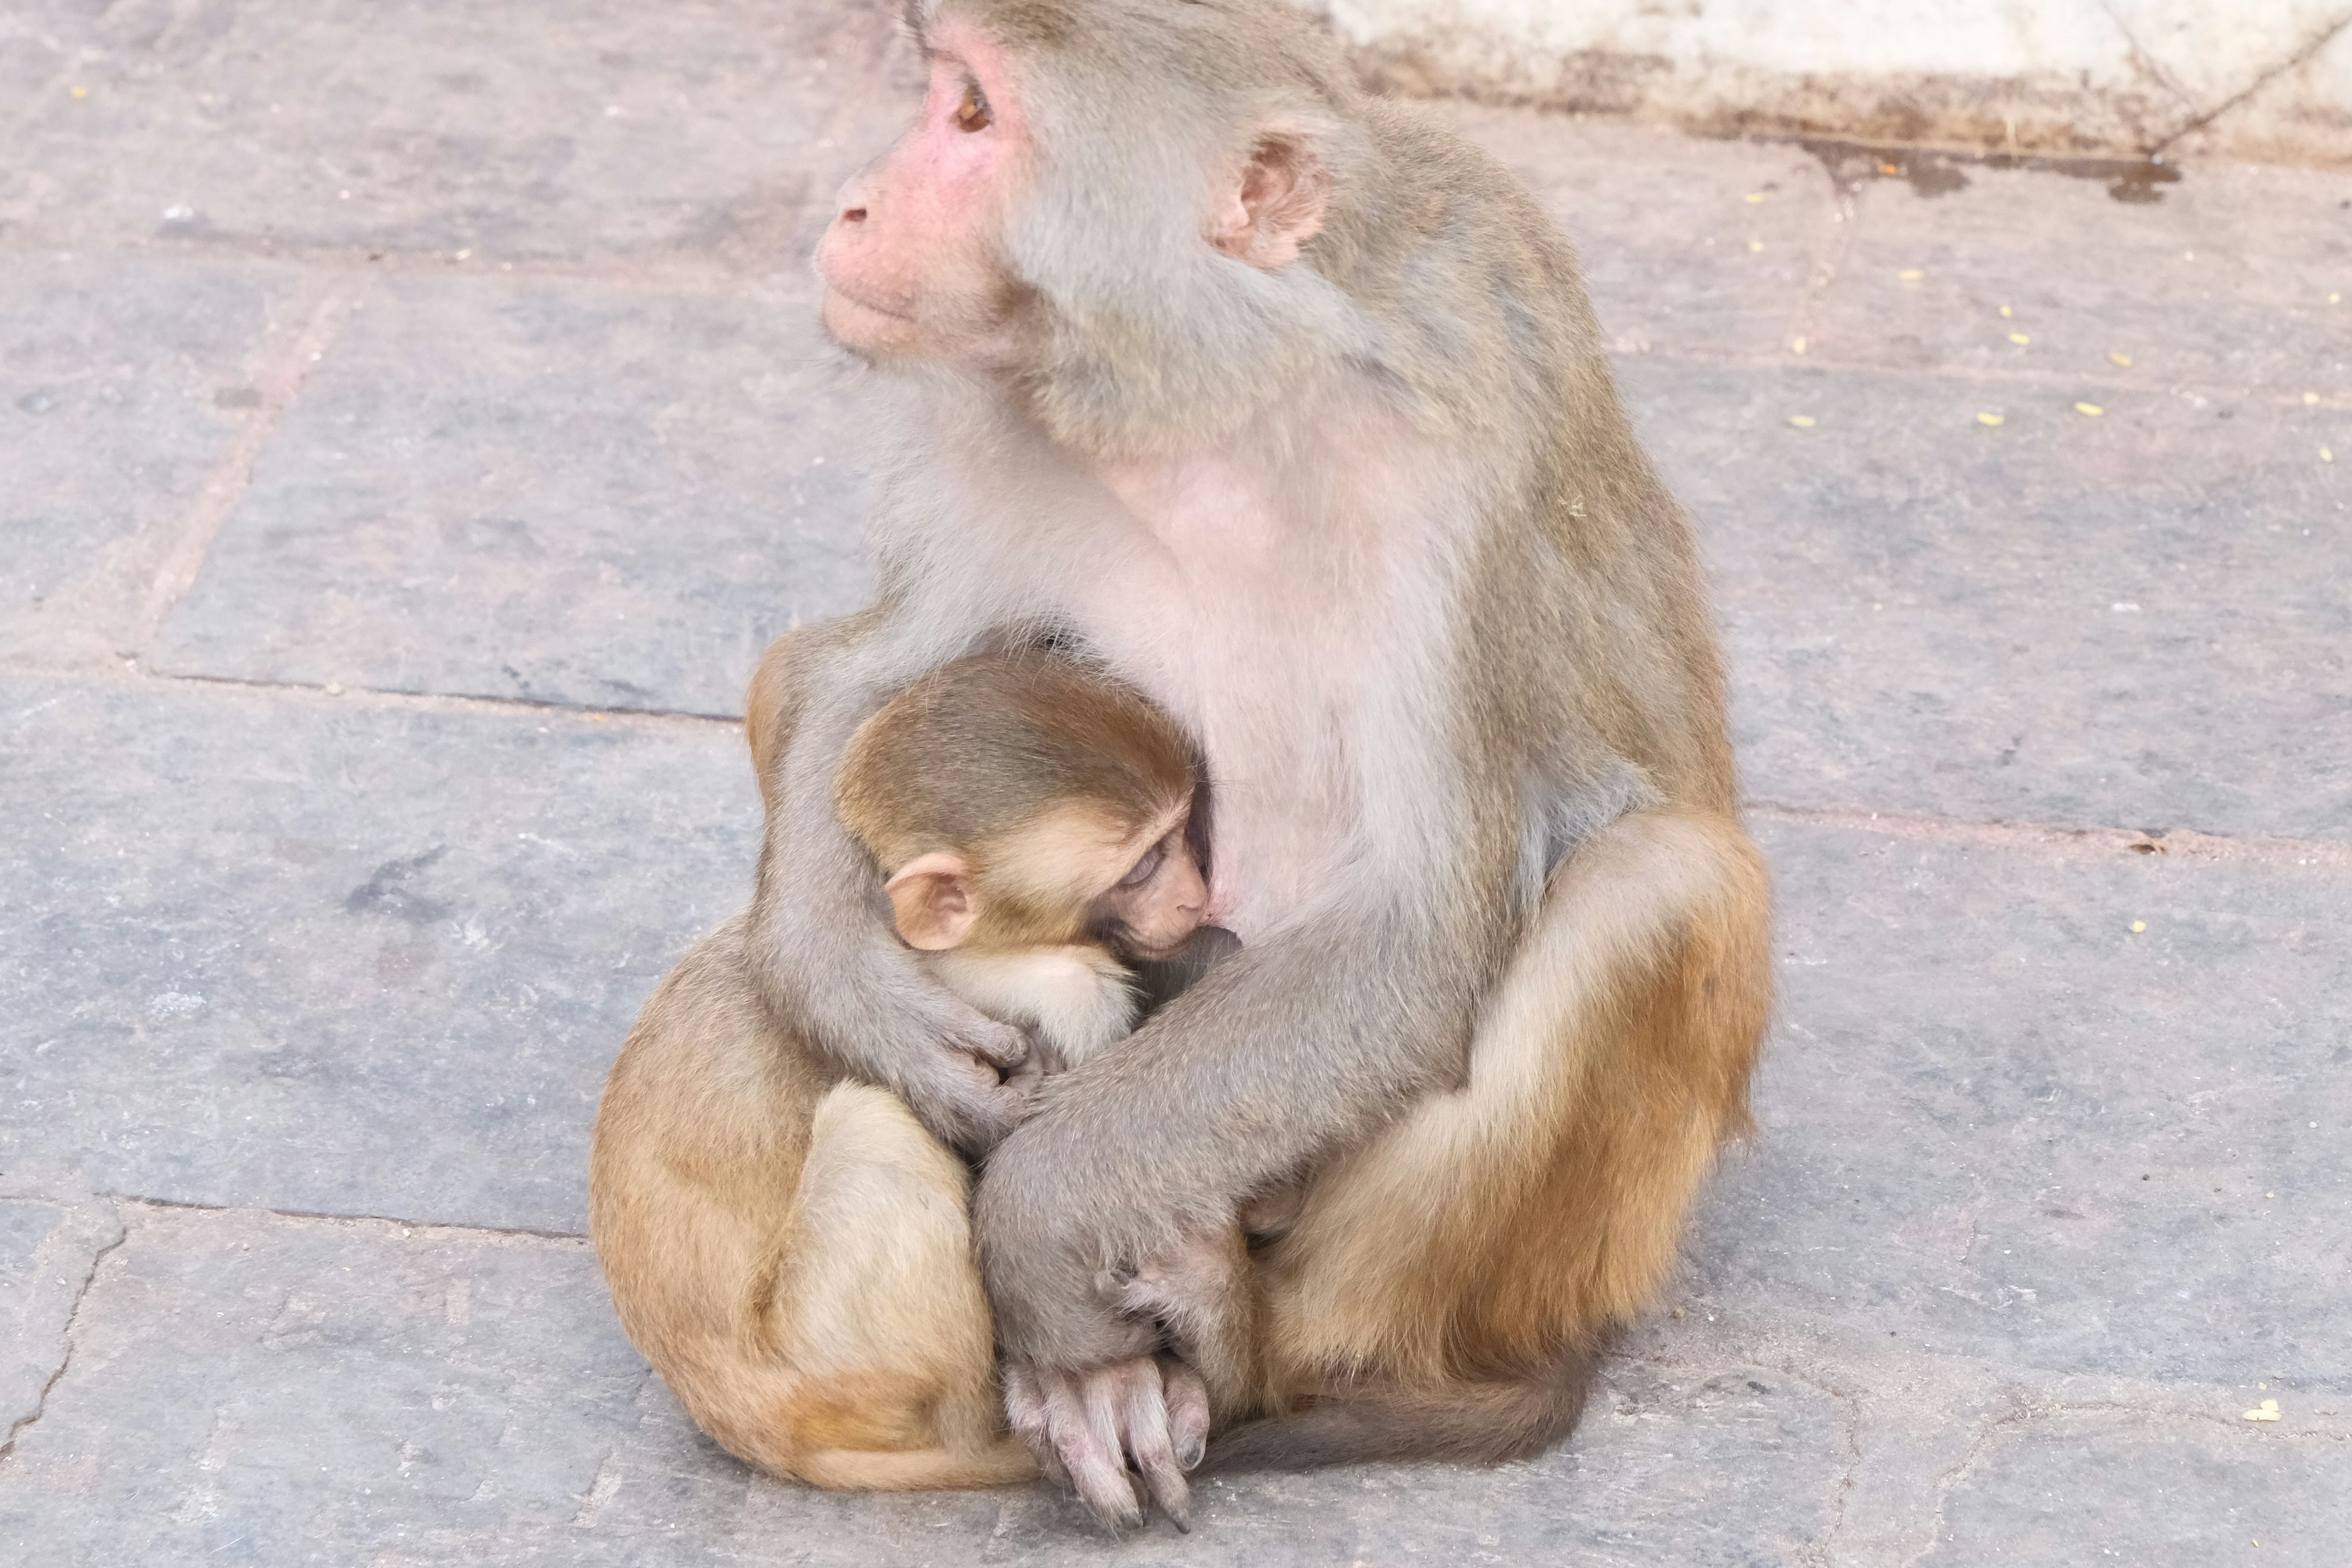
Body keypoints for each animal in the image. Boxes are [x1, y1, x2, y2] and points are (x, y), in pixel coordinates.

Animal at [589, 650, 1243, 1496]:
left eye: (1183, 830)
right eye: (1142, 866)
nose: (1196, 897)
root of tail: (747, 1421)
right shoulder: (1061, 998)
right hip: (832, 1364)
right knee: (875, 1129)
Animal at [728, 0, 1773, 1529]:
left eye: (975, 117)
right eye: (943, 93)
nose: (858, 202)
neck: (1211, 399)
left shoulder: (1463, 465)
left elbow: (1417, 930)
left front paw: (1039, 1225)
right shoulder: (986, 413)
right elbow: (855, 675)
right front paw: (858, 992)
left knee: (1659, 888)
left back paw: (1253, 1342)